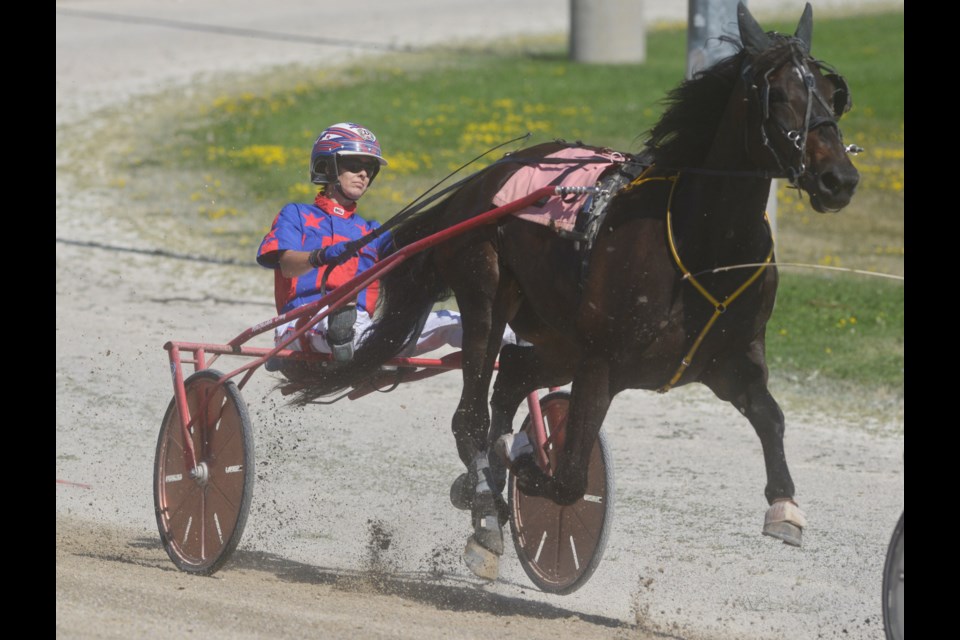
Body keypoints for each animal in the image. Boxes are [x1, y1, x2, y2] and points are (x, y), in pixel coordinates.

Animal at [288, 1, 860, 580]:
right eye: (778, 94)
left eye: (832, 94)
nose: (840, 179)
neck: (703, 242)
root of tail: (476, 189)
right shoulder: (602, 364)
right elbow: (568, 479)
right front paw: (514, 472)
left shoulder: (730, 360)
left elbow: (771, 415)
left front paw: (785, 508)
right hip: (486, 293)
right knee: (472, 412)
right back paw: (488, 506)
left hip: (556, 335)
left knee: (514, 374)